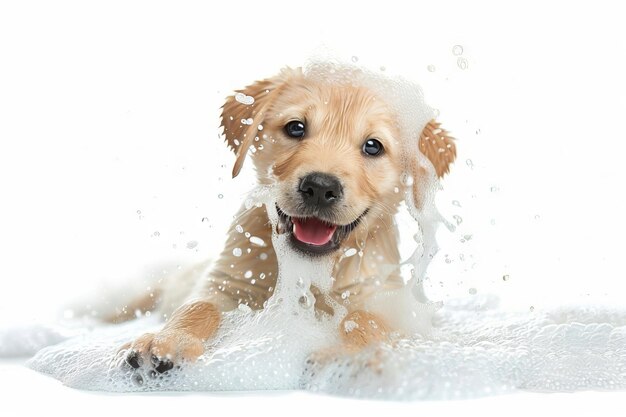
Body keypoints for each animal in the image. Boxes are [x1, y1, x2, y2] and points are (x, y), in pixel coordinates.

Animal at [120, 66, 454, 374]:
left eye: (373, 146)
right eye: (296, 128)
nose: (320, 187)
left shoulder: (382, 296)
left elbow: (366, 320)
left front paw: (349, 356)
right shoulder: (226, 281)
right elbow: (198, 305)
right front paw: (169, 340)